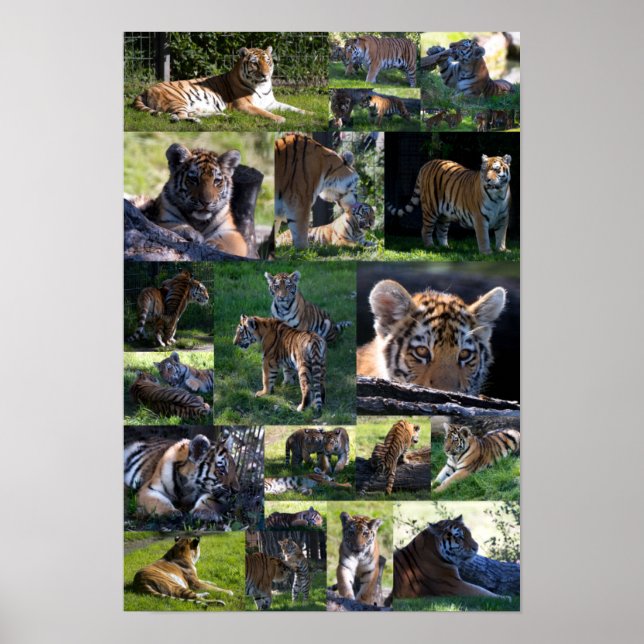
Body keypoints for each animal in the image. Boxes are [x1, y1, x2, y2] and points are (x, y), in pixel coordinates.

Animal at [133, 46, 308, 123]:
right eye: (255, 63)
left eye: (267, 61)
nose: (265, 75)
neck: (262, 86)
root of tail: (144, 90)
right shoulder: (243, 105)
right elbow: (263, 112)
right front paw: (280, 118)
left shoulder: (271, 102)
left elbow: (293, 107)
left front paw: (309, 113)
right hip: (177, 100)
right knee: (180, 116)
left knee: (189, 114)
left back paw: (221, 116)